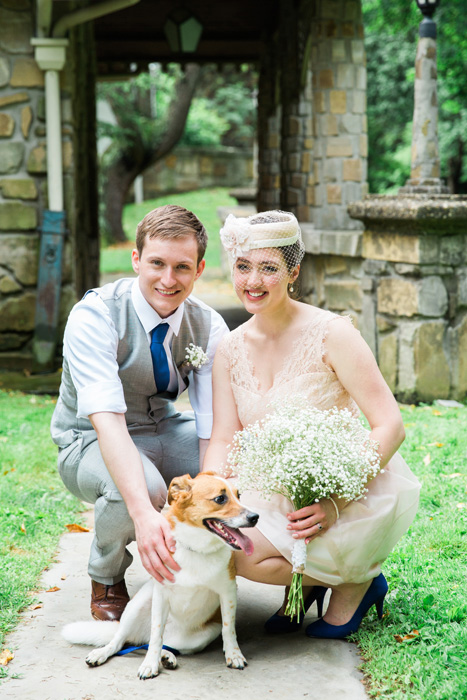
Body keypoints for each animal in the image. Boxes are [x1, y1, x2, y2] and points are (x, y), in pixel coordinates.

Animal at [61, 470, 260, 680]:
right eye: (220, 499)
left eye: (239, 495)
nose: (255, 517)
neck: (196, 549)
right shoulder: (161, 596)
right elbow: (156, 634)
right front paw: (150, 664)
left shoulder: (228, 592)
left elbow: (228, 628)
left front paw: (234, 654)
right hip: (138, 605)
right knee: (123, 640)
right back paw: (103, 653)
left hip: (201, 637)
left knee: (157, 643)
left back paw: (167, 657)